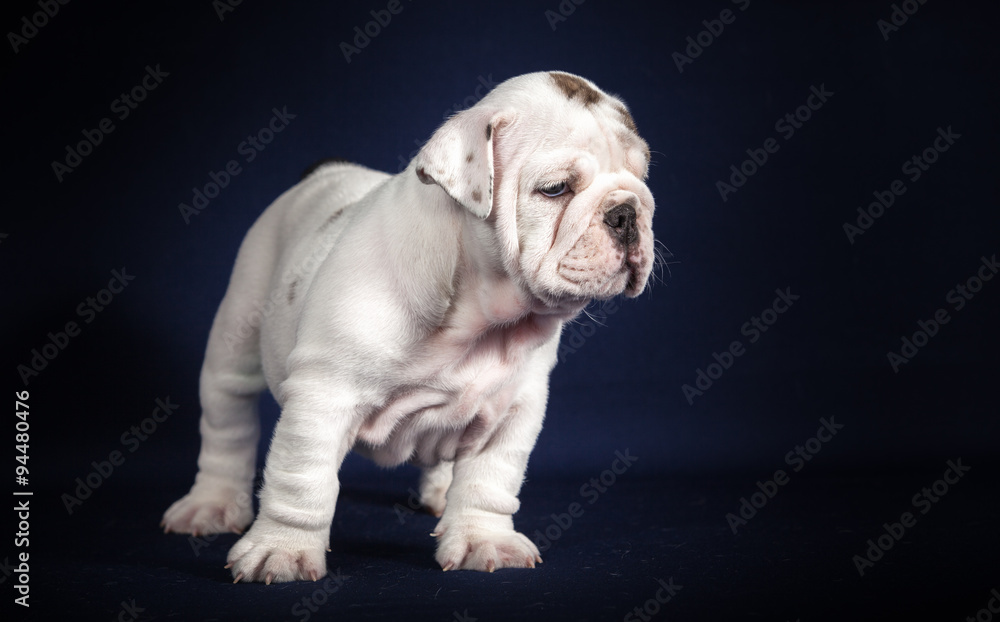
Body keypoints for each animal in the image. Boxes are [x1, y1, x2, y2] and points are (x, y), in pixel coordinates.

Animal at [162, 72, 656, 584]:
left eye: (641, 177)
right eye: (555, 189)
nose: (627, 211)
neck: (478, 314)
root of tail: (321, 172)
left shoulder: (513, 406)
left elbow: (490, 478)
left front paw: (484, 539)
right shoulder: (323, 395)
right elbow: (302, 480)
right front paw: (283, 551)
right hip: (237, 331)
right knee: (227, 422)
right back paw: (211, 504)